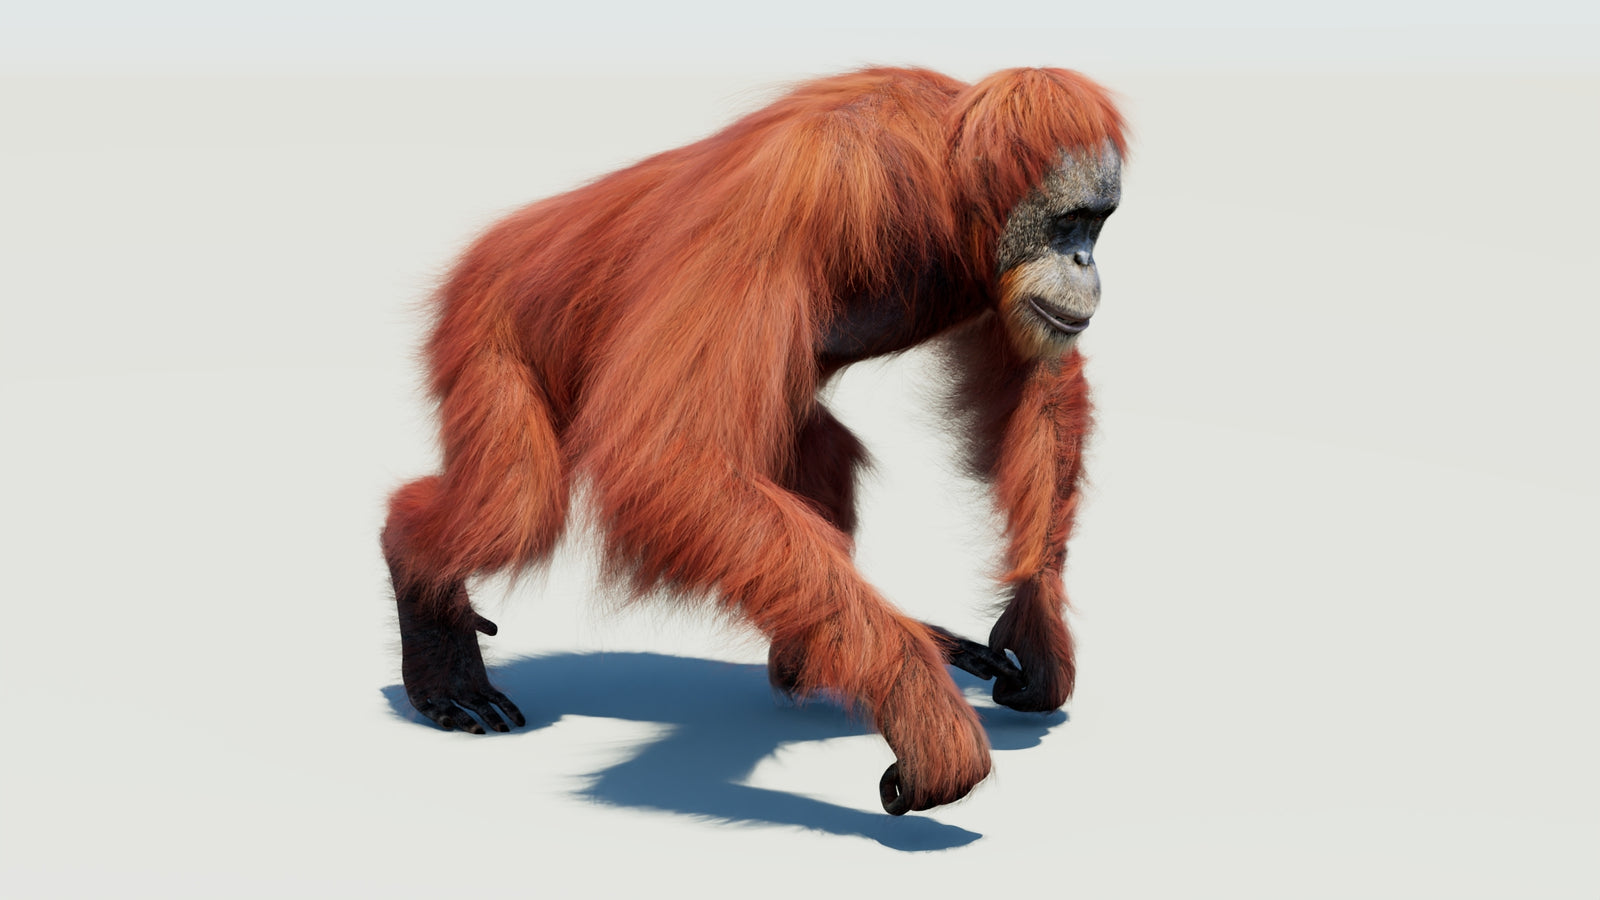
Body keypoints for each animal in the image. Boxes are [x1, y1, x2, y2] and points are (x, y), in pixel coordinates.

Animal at [381, 66, 1125, 815]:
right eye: (1068, 222)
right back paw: (425, 605)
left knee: (820, 459)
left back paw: (812, 662)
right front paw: (923, 711)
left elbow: (1039, 378)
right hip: (485, 325)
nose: (1085, 263)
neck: (941, 185)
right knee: (518, 505)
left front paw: (1036, 625)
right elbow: (670, 459)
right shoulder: (795, 194)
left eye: (1097, 224)